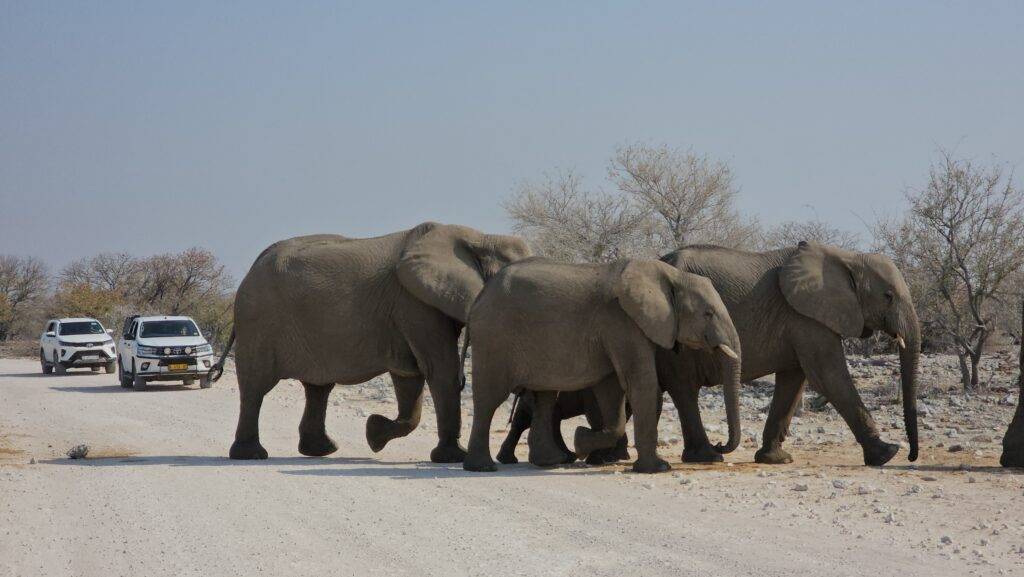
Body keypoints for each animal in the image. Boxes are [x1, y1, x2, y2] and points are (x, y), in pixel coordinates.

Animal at [223, 223, 528, 463]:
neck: (481, 238)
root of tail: (254, 265)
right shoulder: (414, 304)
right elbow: (439, 369)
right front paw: (453, 457)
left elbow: (410, 376)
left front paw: (374, 434)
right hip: (259, 321)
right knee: (255, 386)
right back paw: (251, 455)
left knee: (318, 388)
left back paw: (322, 450)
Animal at [460, 258, 741, 473]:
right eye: (708, 314)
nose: (719, 446)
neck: (669, 275)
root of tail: (478, 299)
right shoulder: (621, 321)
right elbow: (640, 381)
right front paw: (657, 468)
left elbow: (612, 390)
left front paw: (581, 441)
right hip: (494, 337)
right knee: (489, 398)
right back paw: (483, 467)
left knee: (545, 397)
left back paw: (553, 461)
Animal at [659, 241, 925, 467]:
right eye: (888, 296)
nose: (912, 457)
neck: (848, 258)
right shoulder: (807, 317)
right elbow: (828, 376)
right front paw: (887, 453)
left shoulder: (801, 318)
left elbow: (793, 380)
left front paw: (776, 459)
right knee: (685, 389)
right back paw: (707, 456)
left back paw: (703, 455)